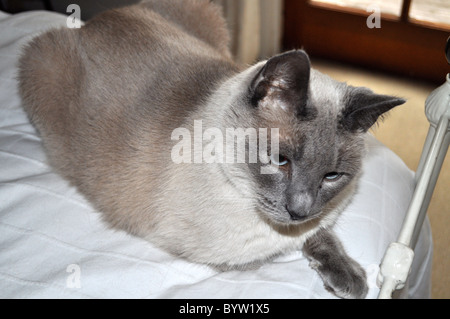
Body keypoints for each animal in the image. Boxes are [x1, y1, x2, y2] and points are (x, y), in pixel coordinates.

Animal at [17, 0, 406, 300]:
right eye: (279, 161)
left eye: (332, 176)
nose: (299, 210)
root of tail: (98, 19)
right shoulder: (222, 253)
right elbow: (285, 247)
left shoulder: (316, 219)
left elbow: (320, 232)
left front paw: (349, 278)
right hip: (41, 63)